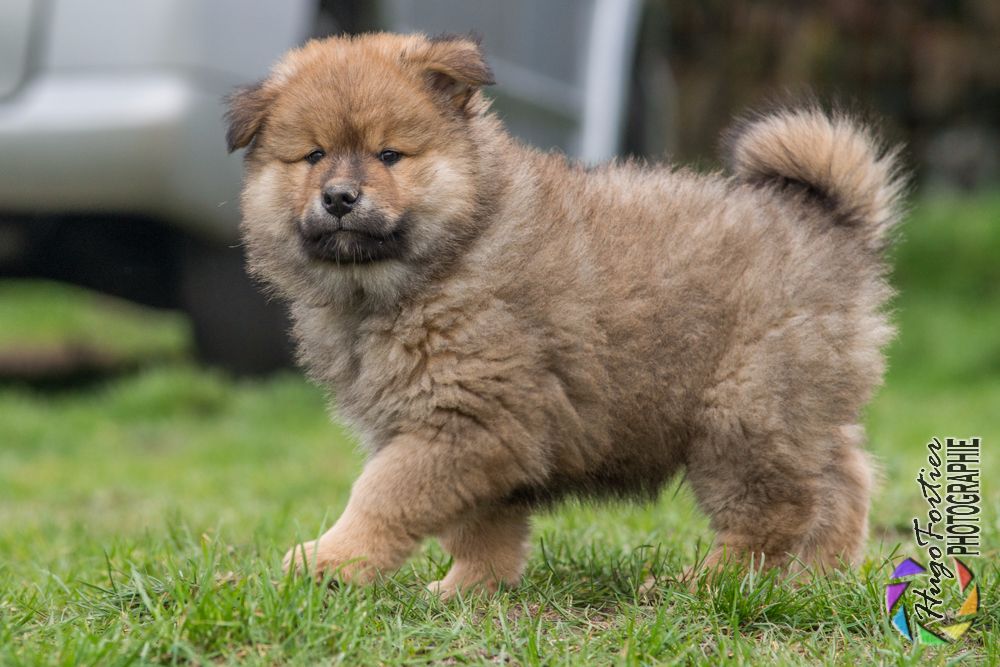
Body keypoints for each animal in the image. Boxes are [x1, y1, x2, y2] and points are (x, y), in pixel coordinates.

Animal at [227, 32, 908, 596]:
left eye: (390, 155)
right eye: (313, 156)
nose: (340, 198)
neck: (443, 260)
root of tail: (830, 221)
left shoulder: (466, 420)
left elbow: (383, 497)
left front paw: (329, 563)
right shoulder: (476, 433)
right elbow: (482, 527)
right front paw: (468, 591)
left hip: (743, 414)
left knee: (771, 517)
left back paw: (704, 585)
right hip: (801, 409)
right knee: (845, 478)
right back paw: (820, 578)